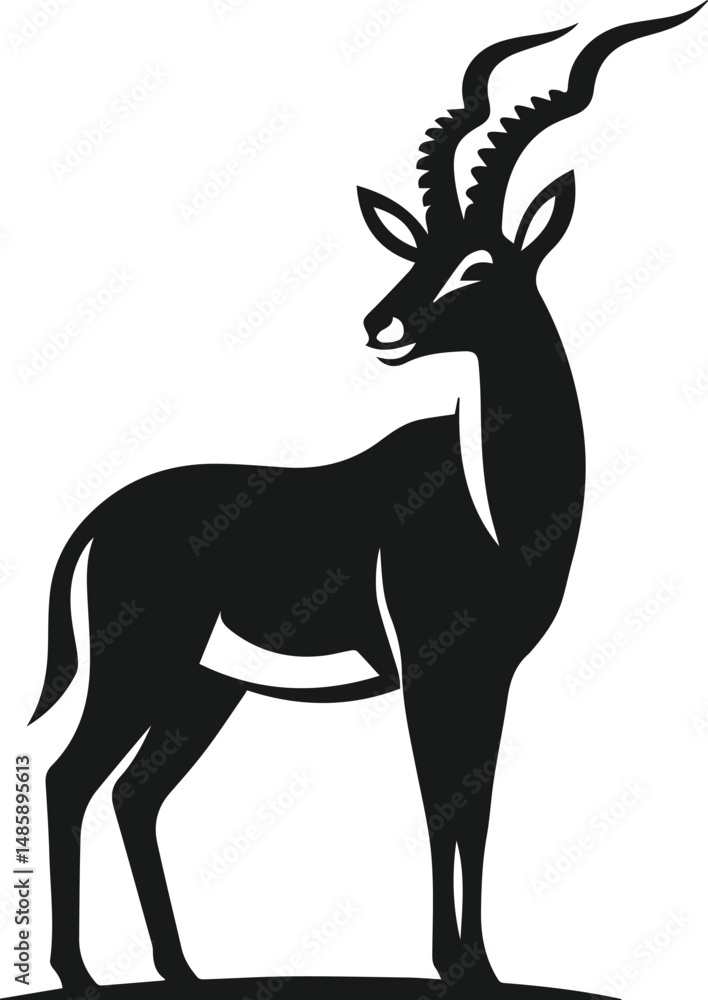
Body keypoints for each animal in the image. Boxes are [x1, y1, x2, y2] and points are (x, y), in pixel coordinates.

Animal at [31, 5, 703, 995]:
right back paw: (79, 973)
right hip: (142, 665)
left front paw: (482, 965)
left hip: (203, 686)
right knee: (71, 778)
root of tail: (98, 520)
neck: (493, 508)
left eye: (477, 264)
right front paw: (453, 963)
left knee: (134, 793)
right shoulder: (429, 667)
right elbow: (439, 803)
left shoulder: (489, 673)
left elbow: (478, 806)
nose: (380, 323)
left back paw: (182, 969)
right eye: (419, 252)